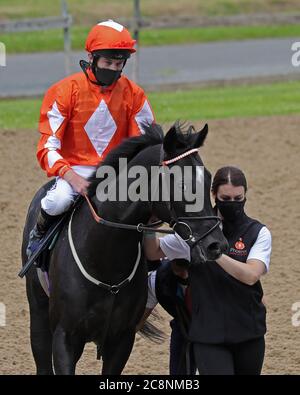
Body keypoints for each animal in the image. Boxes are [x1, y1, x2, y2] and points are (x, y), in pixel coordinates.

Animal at [20, 122, 227, 376]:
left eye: (208, 180)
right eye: (181, 184)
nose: (216, 244)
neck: (105, 261)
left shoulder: (121, 340)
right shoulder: (65, 337)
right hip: (38, 313)